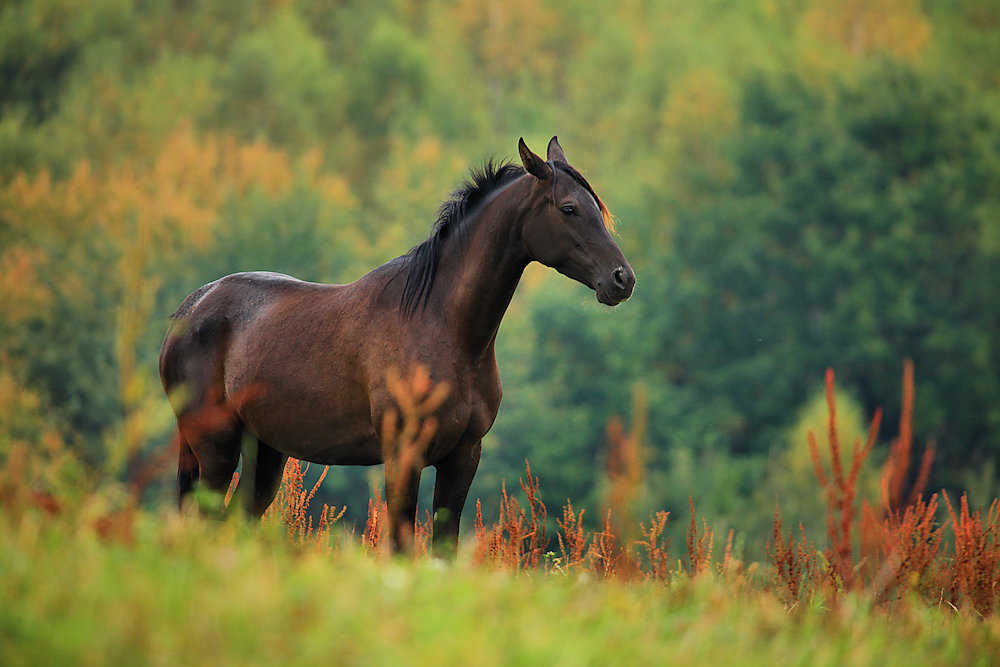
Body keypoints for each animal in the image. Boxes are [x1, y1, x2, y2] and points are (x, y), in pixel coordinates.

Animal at [160, 136, 636, 552]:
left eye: (596, 207)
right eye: (569, 208)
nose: (622, 279)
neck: (442, 327)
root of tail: (191, 308)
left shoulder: (463, 457)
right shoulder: (403, 458)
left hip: (264, 454)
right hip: (216, 448)